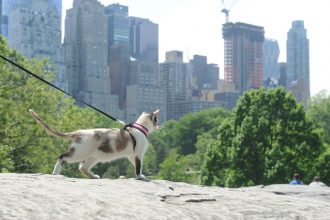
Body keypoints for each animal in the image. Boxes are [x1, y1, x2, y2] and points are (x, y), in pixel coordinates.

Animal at [29, 108, 160, 180]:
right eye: (156, 120)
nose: (159, 126)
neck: (139, 128)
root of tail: (78, 132)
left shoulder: (131, 155)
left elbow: (137, 166)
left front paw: (140, 175)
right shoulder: (139, 154)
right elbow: (138, 167)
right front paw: (140, 177)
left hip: (93, 157)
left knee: (82, 168)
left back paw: (94, 176)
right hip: (79, 154)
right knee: (62, 157)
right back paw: (55, 173)